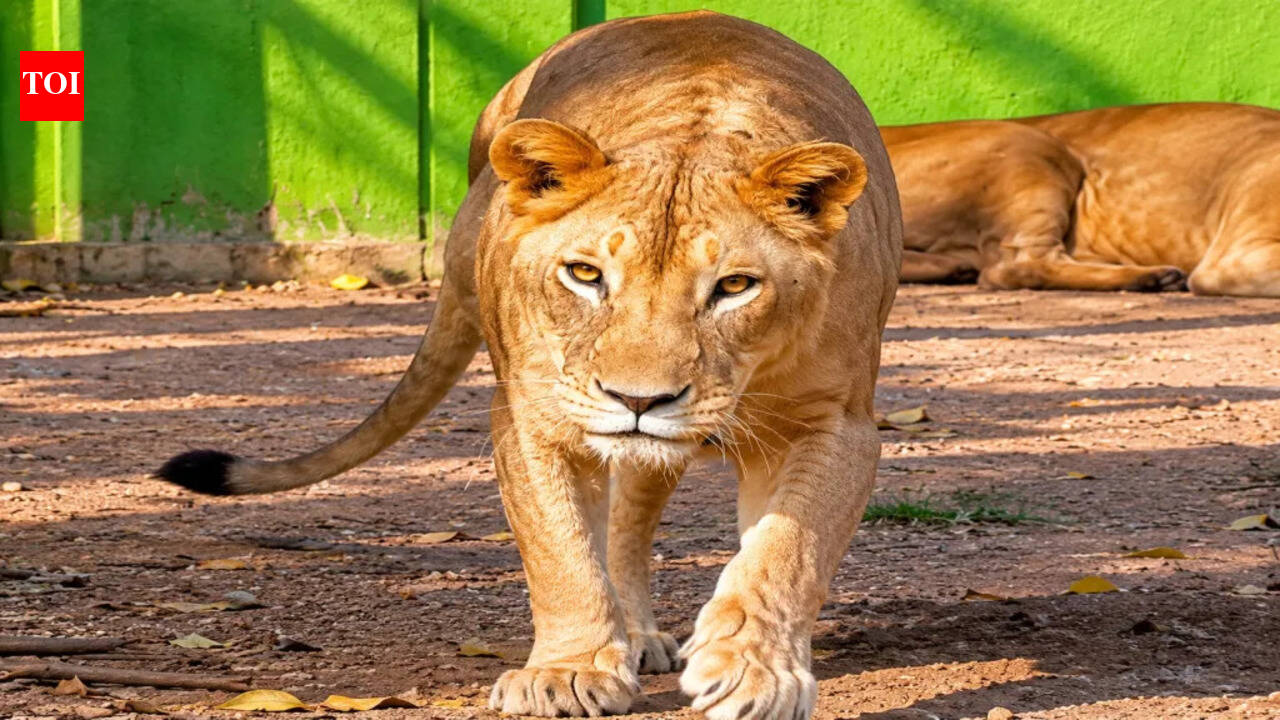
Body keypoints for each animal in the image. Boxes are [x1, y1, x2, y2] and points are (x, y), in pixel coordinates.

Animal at [157, 11, 901, 720]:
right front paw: (569, 674)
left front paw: (753, 670)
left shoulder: (837, 422)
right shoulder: (532, 413)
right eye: (585, 274)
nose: (638, 401)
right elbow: (560, 550)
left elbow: (784, 553)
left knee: (634, 522)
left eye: (735, 286)